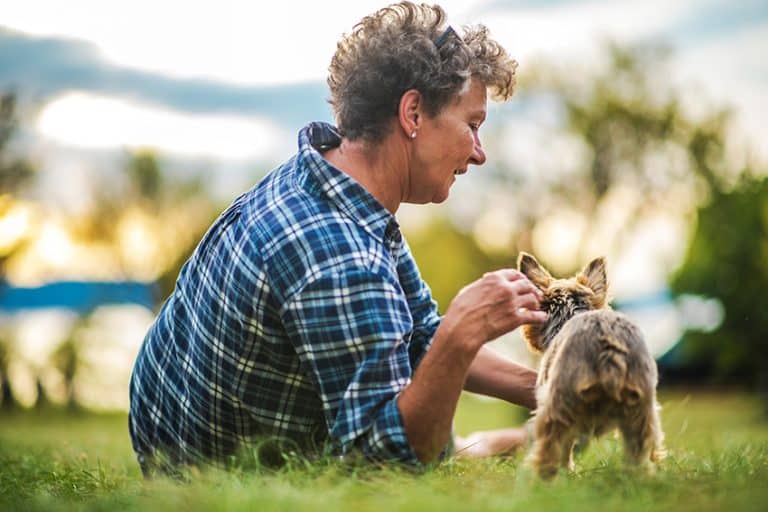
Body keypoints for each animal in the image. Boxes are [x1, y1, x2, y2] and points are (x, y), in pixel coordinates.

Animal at [516, 252, 664, 480]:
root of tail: (609, 350)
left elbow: (566, 447)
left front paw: (567, 472)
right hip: (642, 410)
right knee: (640, 450)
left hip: (558, 406)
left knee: (550, 447)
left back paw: (541, 480)